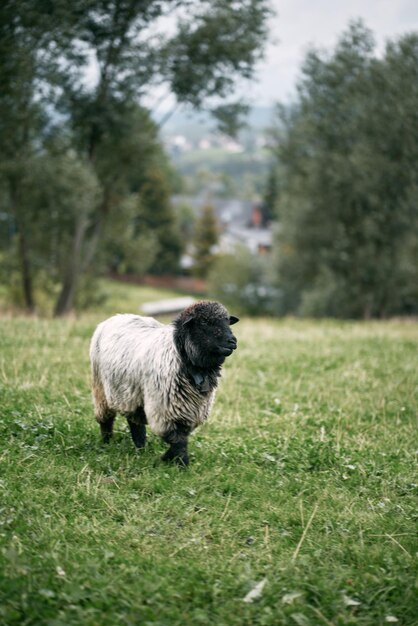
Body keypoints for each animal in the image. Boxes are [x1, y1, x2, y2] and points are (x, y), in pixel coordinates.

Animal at [90, 300, 238, 466]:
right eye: (205, 322)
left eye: (228, 322)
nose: (232, 341)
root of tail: (116, 317)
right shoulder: (164, 409)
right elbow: (177, 439)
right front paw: (180, 463)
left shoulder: (190, 409)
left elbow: (181, 437)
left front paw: (169, 458)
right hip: (101, 388)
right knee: (106, 419)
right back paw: (107, 442)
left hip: (132, 394)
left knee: (135, 423)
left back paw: (140, 448)